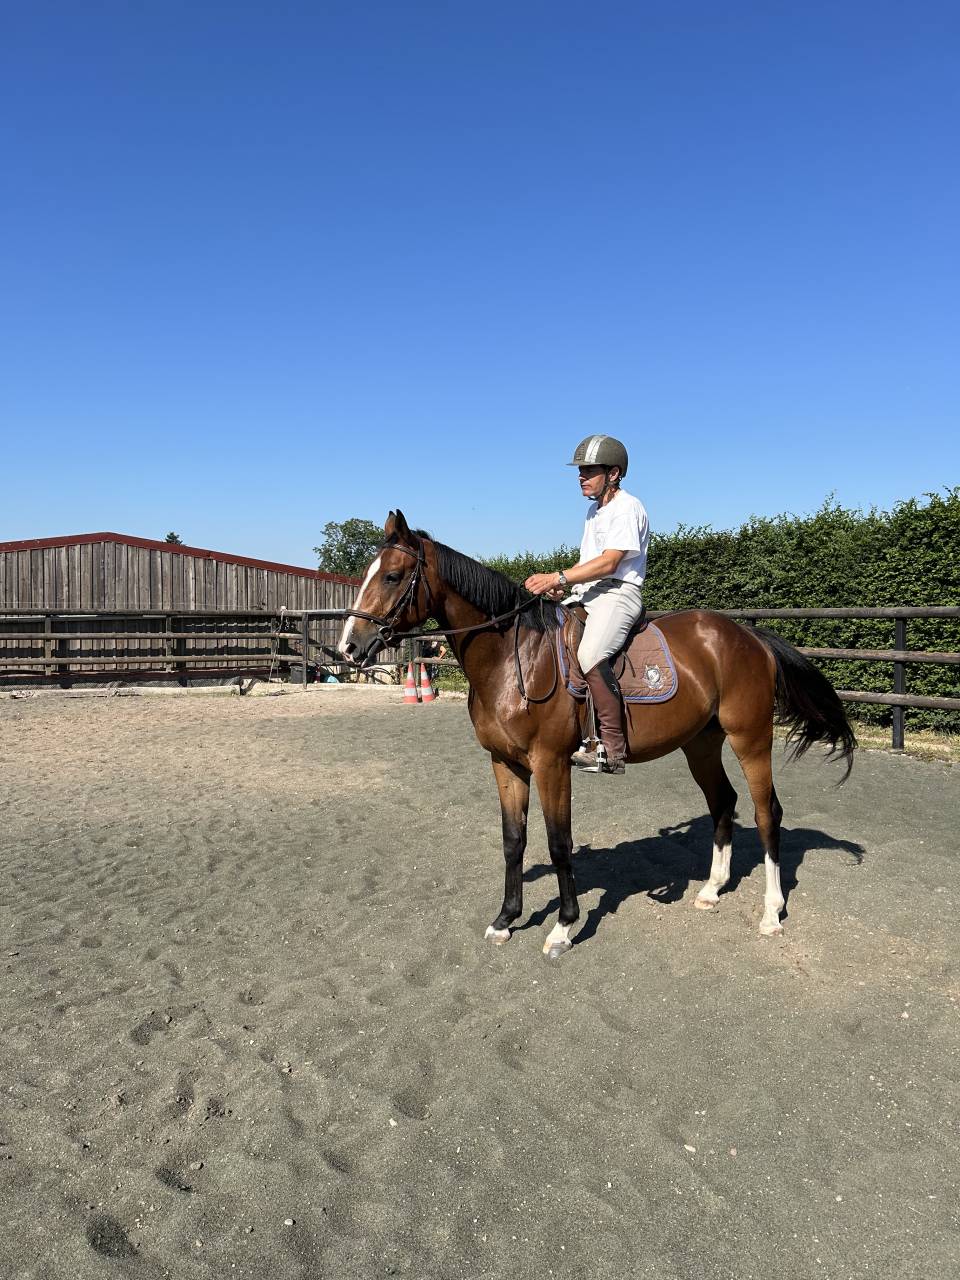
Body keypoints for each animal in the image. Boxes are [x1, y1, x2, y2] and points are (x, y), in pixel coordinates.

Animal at [337, 511, 856, 959]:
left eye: (392, 576)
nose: (349, 647)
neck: (514, 658)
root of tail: (749, 637)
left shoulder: (550, 763)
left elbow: (558, 843)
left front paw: (563, 928)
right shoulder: (505, 763)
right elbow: (513, 840)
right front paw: (506, 919)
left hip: (749, 738)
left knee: (767, 813)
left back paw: (771, 913)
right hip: (701, 743)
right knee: (723, 802)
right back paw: (711, 889)